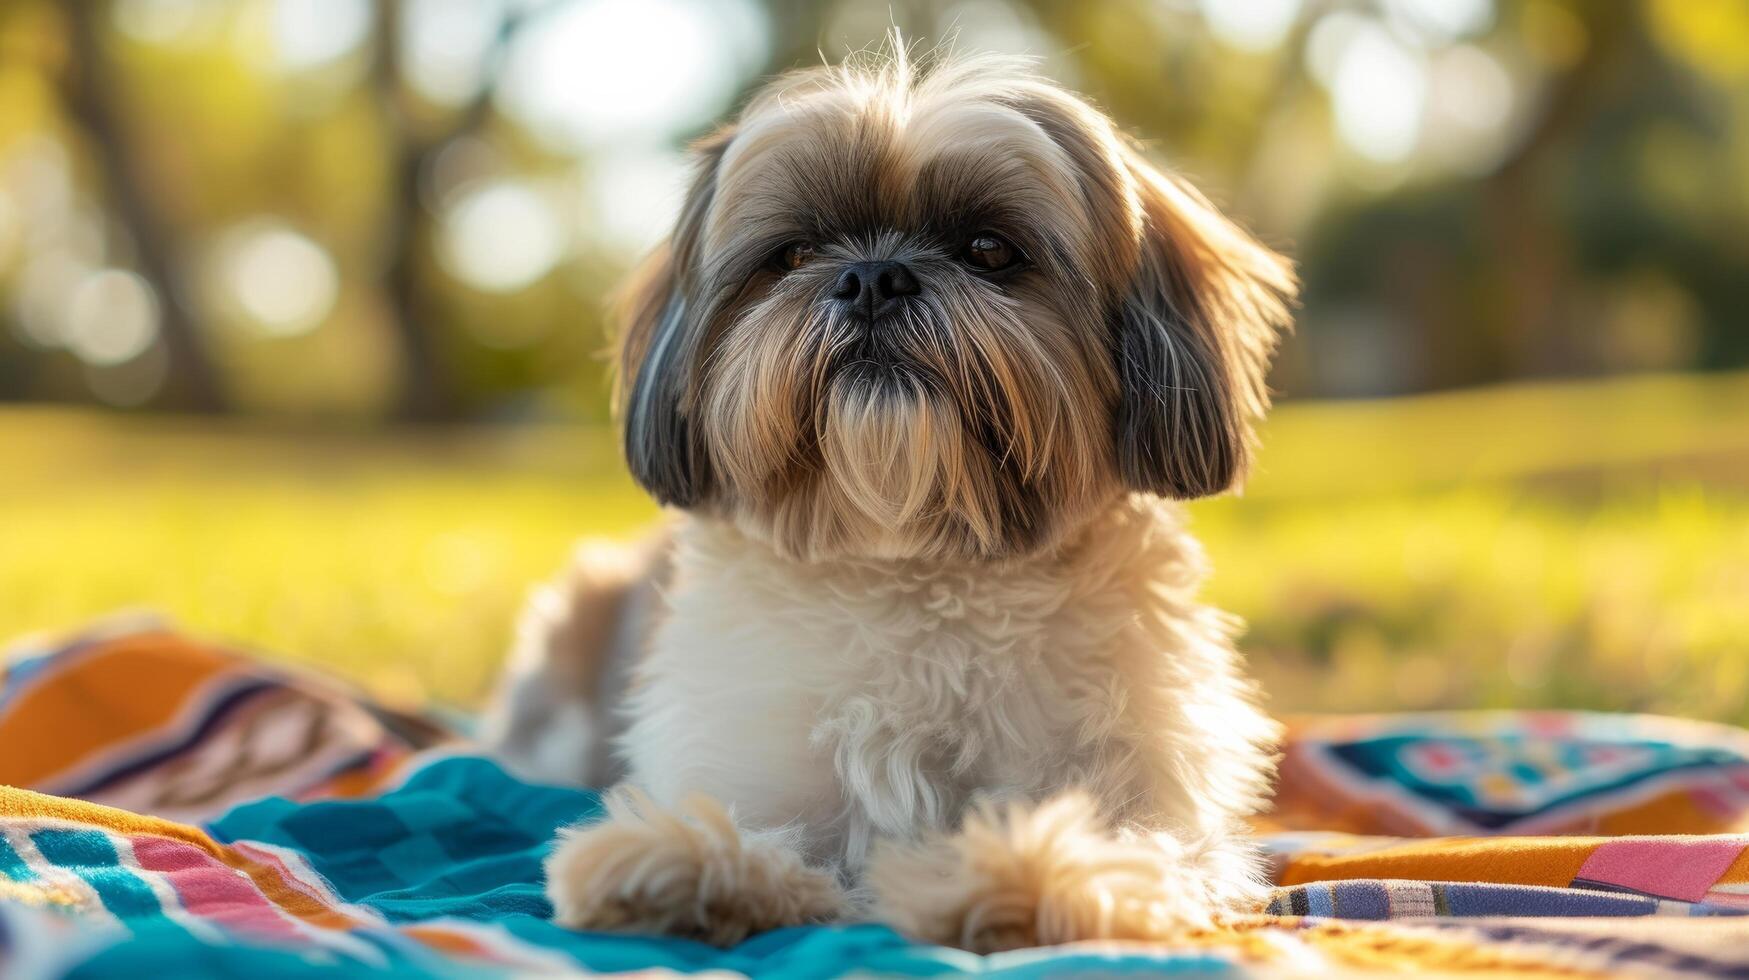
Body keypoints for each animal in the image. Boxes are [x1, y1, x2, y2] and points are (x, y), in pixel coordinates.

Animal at [486, 47, 1294, 959]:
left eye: (989, 249)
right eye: (793, 253)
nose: (872, 276)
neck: (913, 562)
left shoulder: (1155, 794)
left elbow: (1140, 850)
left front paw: (1029, 875)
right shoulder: (754, 763)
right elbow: (760, 834)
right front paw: (684, 867)